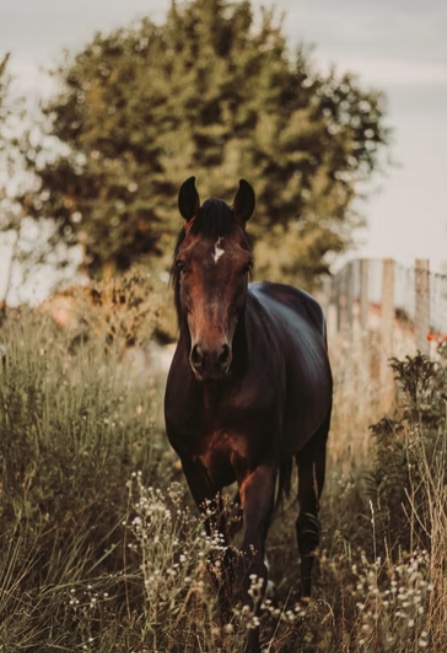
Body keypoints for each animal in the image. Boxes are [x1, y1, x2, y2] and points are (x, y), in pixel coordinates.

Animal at [164, 178, 332, 652]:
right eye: (183, 263)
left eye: (244, 265)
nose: (211, 356)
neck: (215, 393)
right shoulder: (198, 475)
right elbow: (220, 559)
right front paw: (221, 627)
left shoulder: (259, 469)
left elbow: (253, 568)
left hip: (314, 448)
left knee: (307, 531)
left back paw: (305, 615)